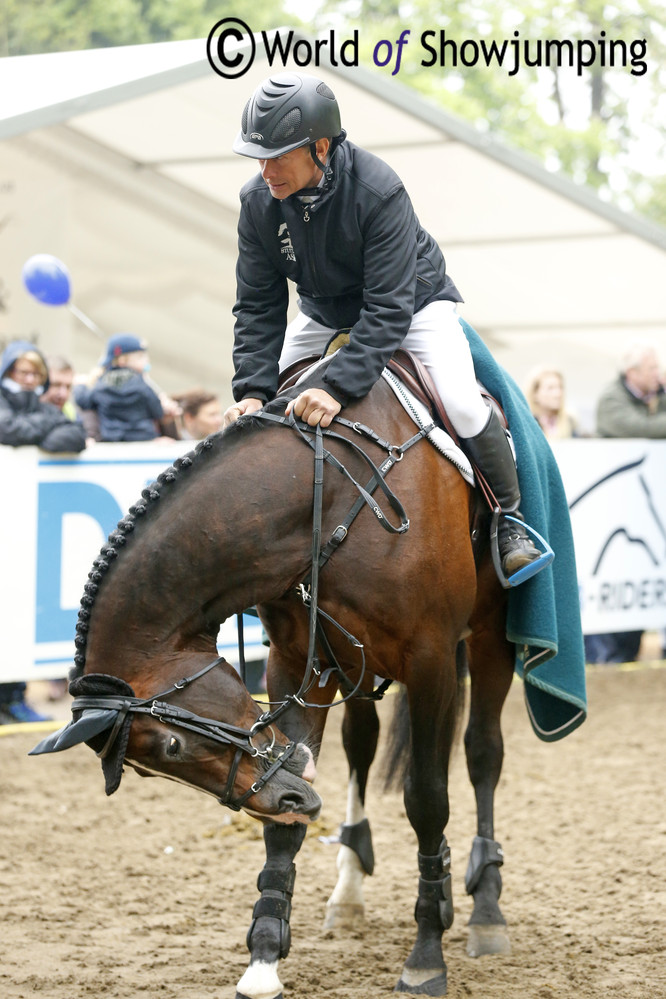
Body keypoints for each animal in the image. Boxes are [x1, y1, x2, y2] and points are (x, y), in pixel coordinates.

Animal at [31, 366, 512, 999]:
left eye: (171, 746)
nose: (288, 800)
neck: (327, 497)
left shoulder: (430, 661)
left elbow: (428, 798)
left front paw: (428, 950)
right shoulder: (299, 663)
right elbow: (289, 813)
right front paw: (263, 955)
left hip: (490, 638)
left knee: (482, 752)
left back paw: (486, 907)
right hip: (359, 667)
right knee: (362, 745)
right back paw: (349, 887)